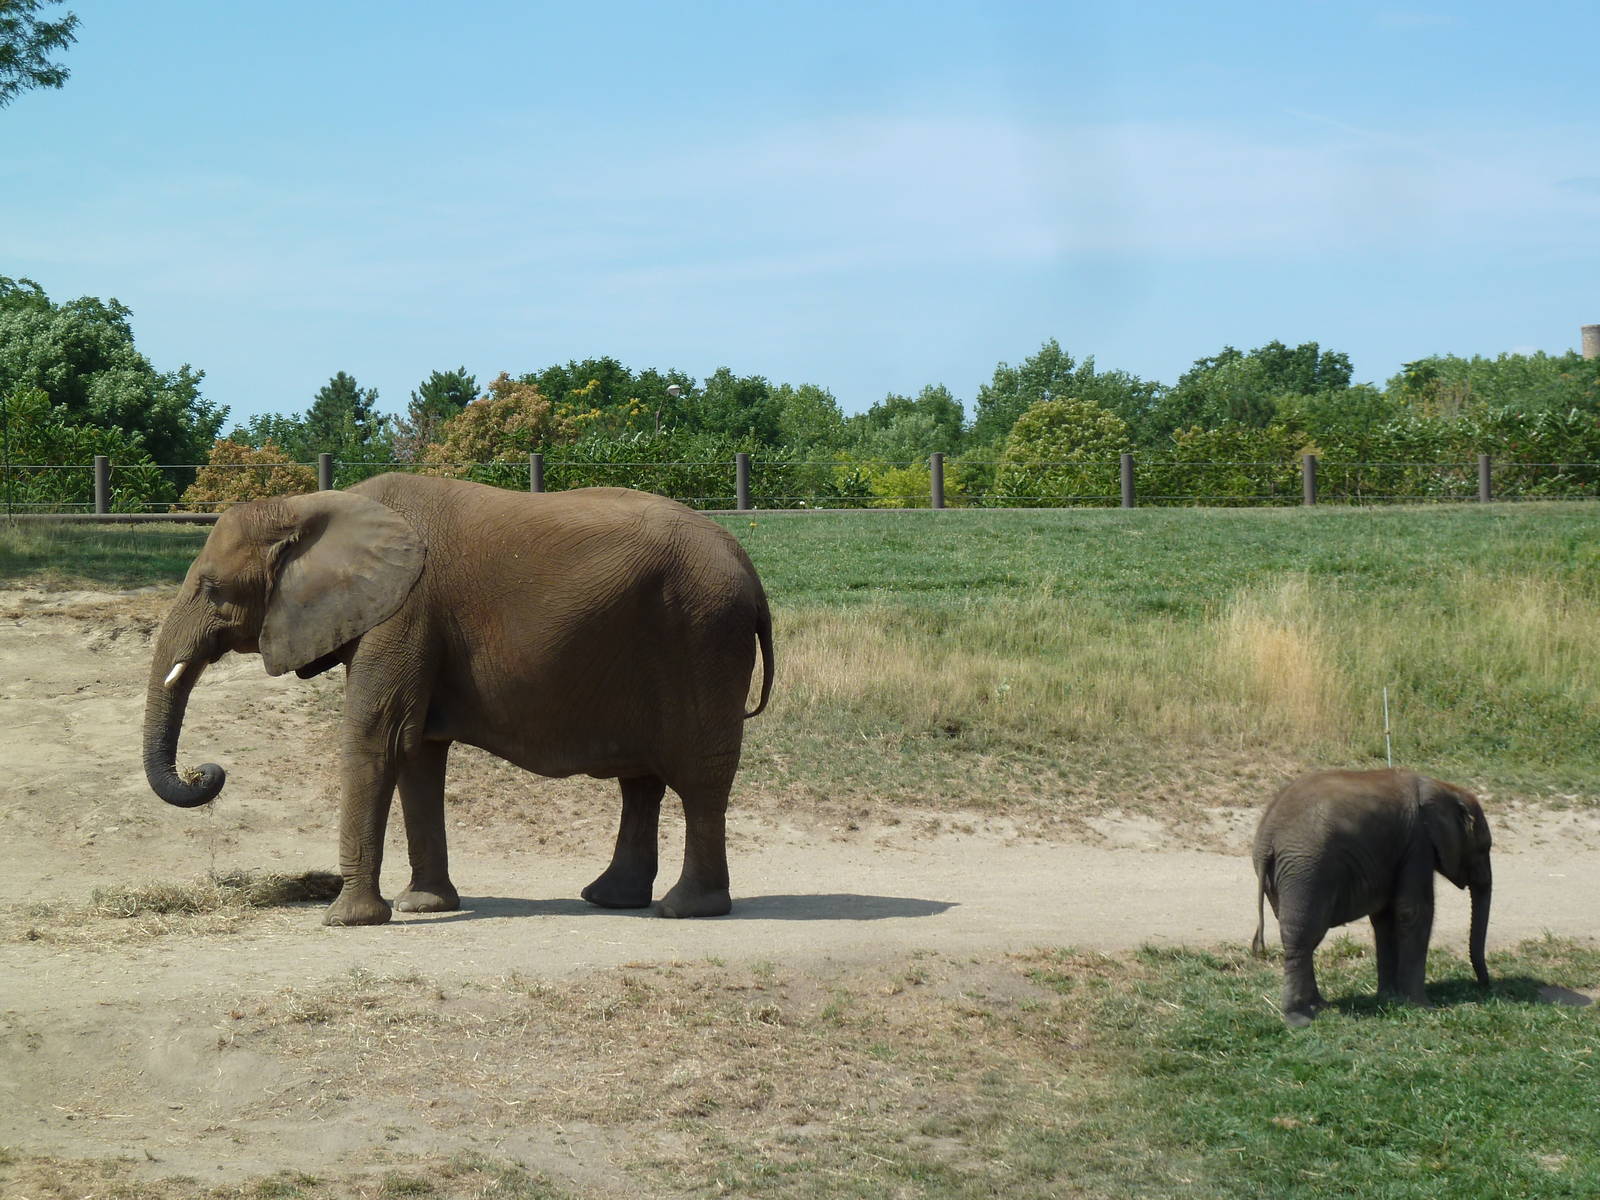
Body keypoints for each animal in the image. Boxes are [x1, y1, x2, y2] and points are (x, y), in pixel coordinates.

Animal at [142, 473, 773, 926]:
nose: (205, 771)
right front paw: (423, 906)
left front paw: (347, 920)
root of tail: (748, 565)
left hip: (704, 634)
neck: (311, 505)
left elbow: (378, 739)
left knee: (700, 777)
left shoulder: (404, 613)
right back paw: (611, 898)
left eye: (212, 590)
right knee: (640, 781)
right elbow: (418, 752)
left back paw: (686, 908)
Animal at [1250, 768, 1491, 1027]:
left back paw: (1320, 1006)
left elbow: (1385, 917)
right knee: (1302, 937)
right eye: (1483, 848)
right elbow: (1415, 911)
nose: (1484, 986)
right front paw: (1424, 1007)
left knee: (1304, 938)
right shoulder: (1418, 843)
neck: (1443, 788)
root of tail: (1267, 839)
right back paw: (1299, 1019)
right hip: (1305, 871)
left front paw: (1390, 998)